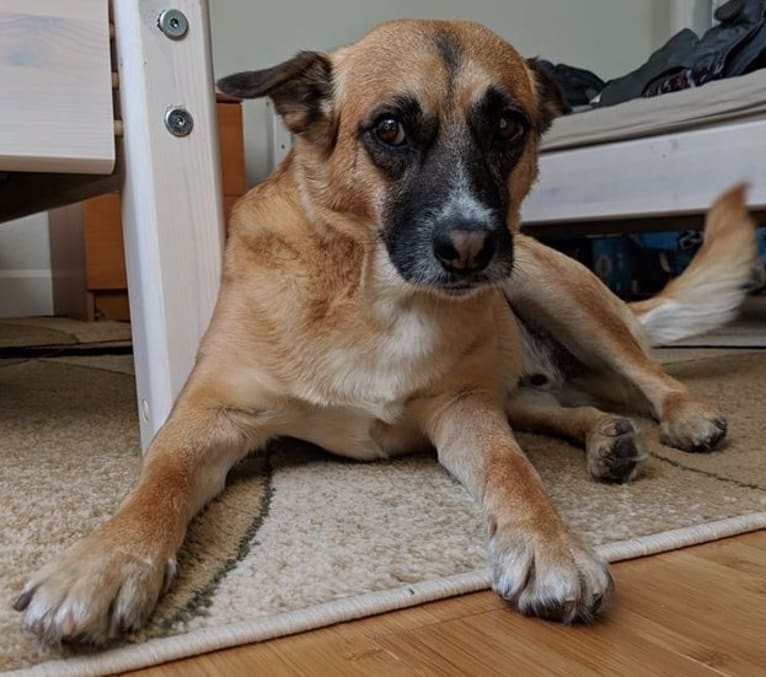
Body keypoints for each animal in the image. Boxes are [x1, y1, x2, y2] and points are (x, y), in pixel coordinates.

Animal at [15, 18, 760, 640]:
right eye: (392, 129)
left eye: (508, 126)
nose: (471, 248)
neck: (373, 291)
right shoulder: (209, 413)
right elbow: (158, 482)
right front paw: (108, 560)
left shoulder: (464, 409)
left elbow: (513, 467)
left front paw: (549, 542)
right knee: (554, 406)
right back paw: (608, 437)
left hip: (550, 287)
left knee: (642, 374)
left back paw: (682, 417)